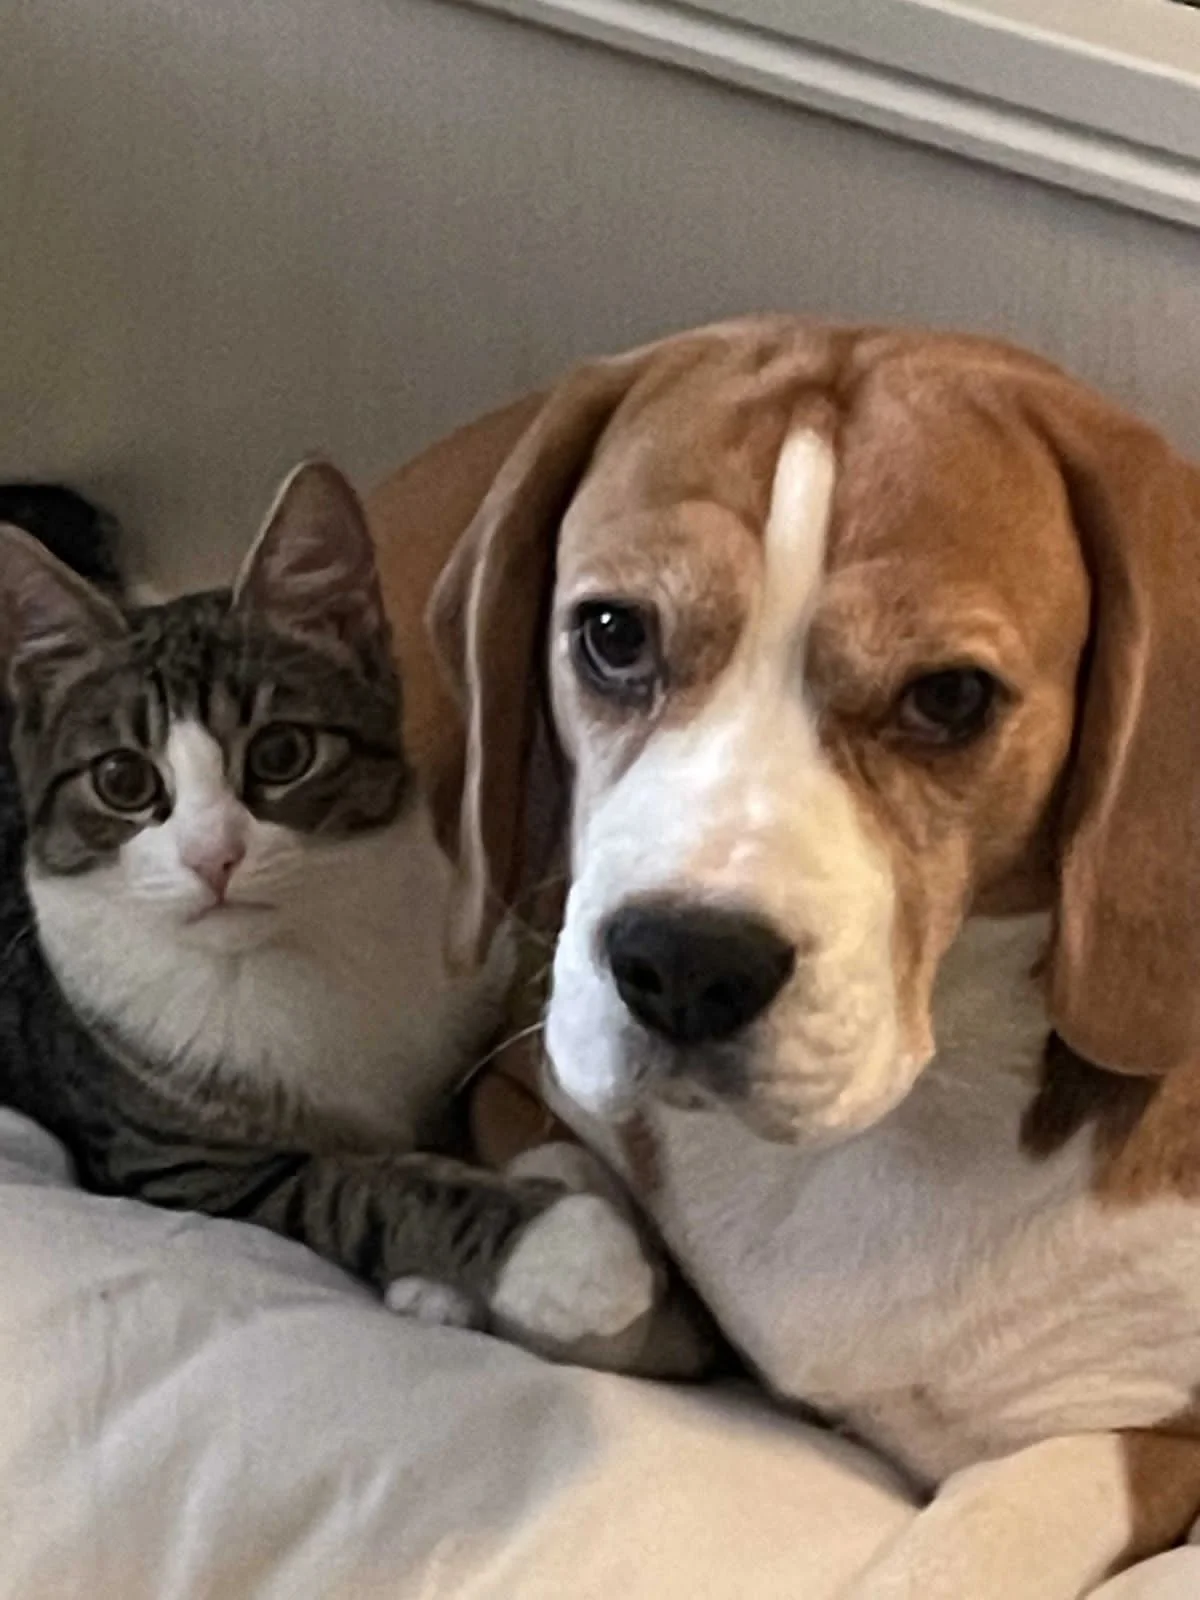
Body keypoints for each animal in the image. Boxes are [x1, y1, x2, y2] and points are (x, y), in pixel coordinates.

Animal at [0, 464, 665, 1364]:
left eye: (282, 753)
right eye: (123, 780)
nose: (213, 856)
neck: (293, 948)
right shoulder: (182, 1164)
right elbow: (357, 1184)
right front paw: (557, 1250)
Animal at [369, 317, 1200, 1597]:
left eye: (950, 696)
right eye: (614, 633)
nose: (681, 964)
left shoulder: (1159, 1442)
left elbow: (984, 1526)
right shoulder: (522, 1077)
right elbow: (583, 1233)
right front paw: (489, 1278)